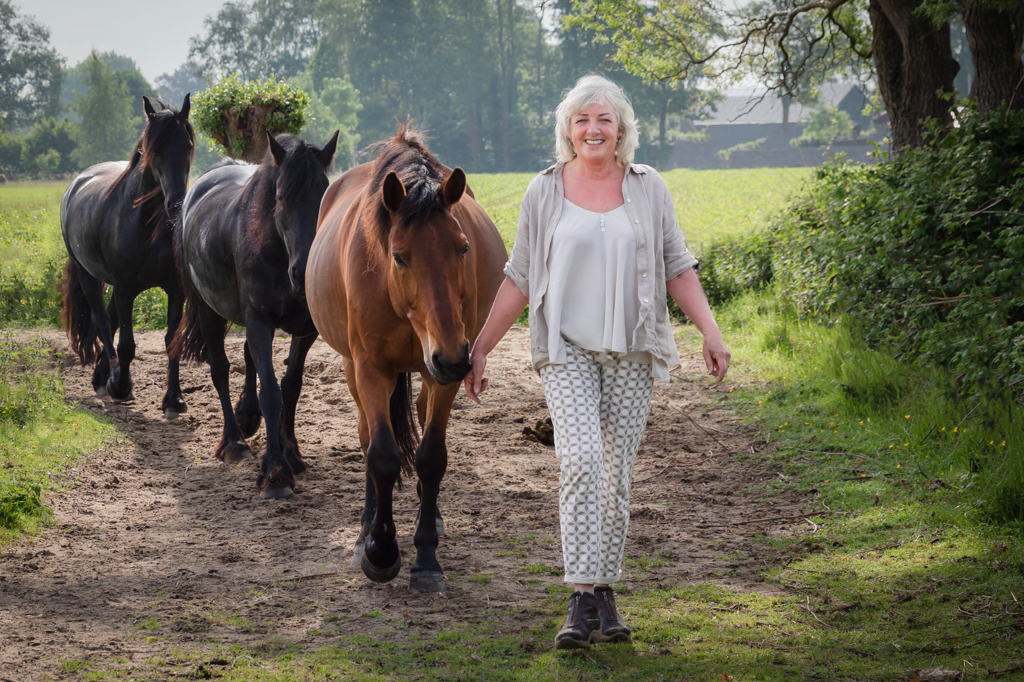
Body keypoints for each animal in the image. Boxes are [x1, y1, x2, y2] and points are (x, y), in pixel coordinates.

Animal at [60, 95, 194, 416]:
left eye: (187, 146)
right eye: (154, 150)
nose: (176, 204)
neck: (146, 225)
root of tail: (77, 182)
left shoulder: (175, 288)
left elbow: (171, 339)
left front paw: (174, 399)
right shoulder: (125, 288)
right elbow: (126, 345)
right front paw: (121, 386)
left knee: (109, 321)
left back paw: (102, 377)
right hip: (89, 276)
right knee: (102, 322)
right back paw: (113, 381)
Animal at [172, 131, 338, 499]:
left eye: (324, 194)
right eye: (281, 197)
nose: (303, 272)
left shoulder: (306, 329)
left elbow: (291, 386)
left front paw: (291, 453)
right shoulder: (259, 320)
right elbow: (271, 393)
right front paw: (275, 473)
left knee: (249, 360)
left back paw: (247, 416)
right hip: (209, 312)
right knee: (220, 371)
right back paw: (234, 441)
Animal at [305, 126, 506, 592]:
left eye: (463, 248)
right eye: (399, 256)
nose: (452, 357)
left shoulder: (444, 372)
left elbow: (432, 458)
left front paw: (426, 556)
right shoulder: (371, 368)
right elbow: (381, 454)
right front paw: (380, 550)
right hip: (357, 369)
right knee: (366, 436)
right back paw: (365, 528)